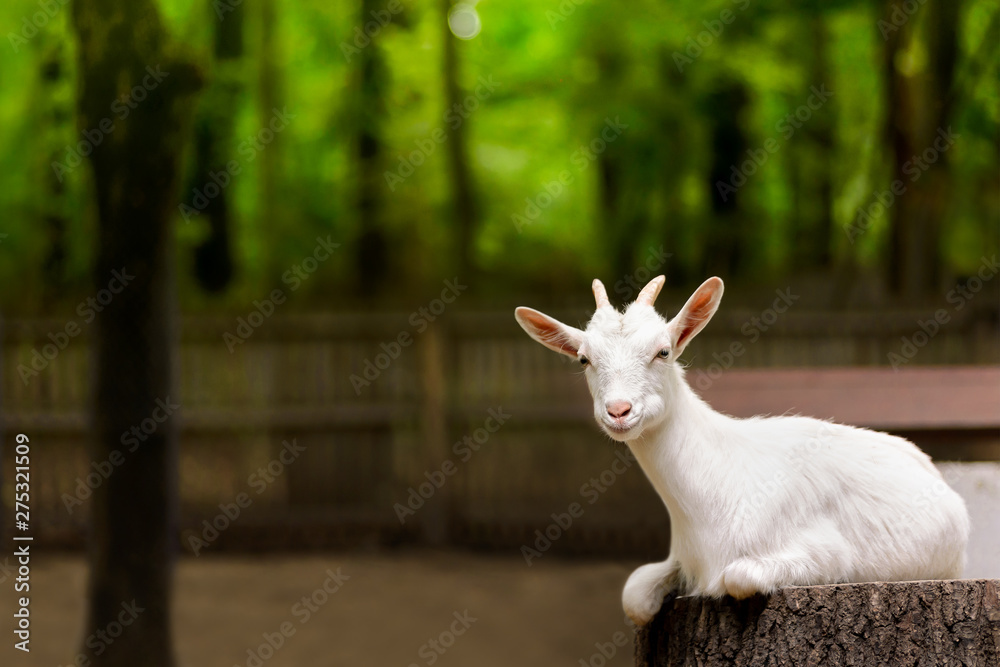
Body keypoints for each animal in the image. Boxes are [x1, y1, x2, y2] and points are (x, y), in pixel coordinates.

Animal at [515, 275, 969, 626]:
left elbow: (737, 578)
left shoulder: (829, 555)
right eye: (583, 360)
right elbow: (634, 594)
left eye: (663, 351)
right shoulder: (681, 556)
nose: (618, 411)